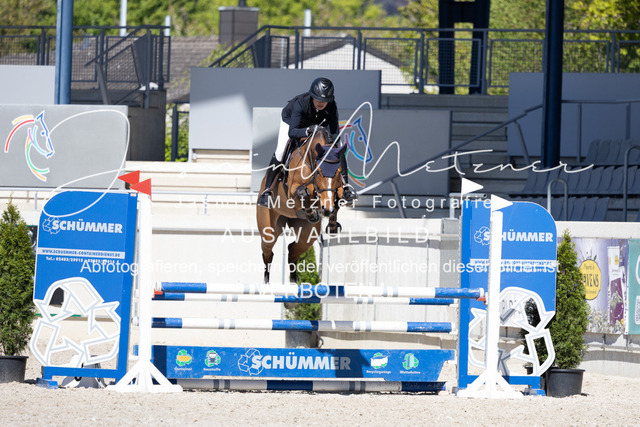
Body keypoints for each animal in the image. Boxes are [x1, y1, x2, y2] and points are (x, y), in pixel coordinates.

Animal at [257, 126, 347, 284]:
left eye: (339, 171)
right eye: (319, 172)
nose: (326, 210)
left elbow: (338, 198)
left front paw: (332, 222)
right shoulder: (292, 189)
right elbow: (302, 192)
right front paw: (312, 211)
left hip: (307, 234)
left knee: (293, 250)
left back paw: (294, 281)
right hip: (269, 229)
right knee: (268, 252)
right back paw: (267, 282)